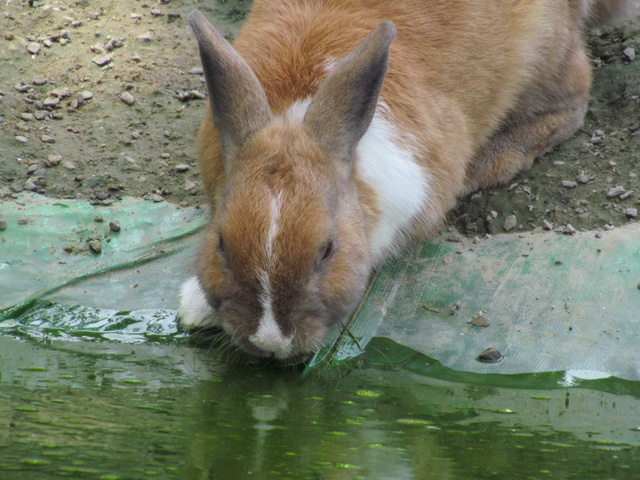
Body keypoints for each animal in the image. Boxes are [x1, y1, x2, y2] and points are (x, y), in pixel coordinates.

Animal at [176, 0, 640, 360]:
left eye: (327, 250)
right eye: (221, 244)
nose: (270, 342)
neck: (295, 115)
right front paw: (196, 308)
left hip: (544, 52)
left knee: (574, 94)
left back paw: (492, 159)